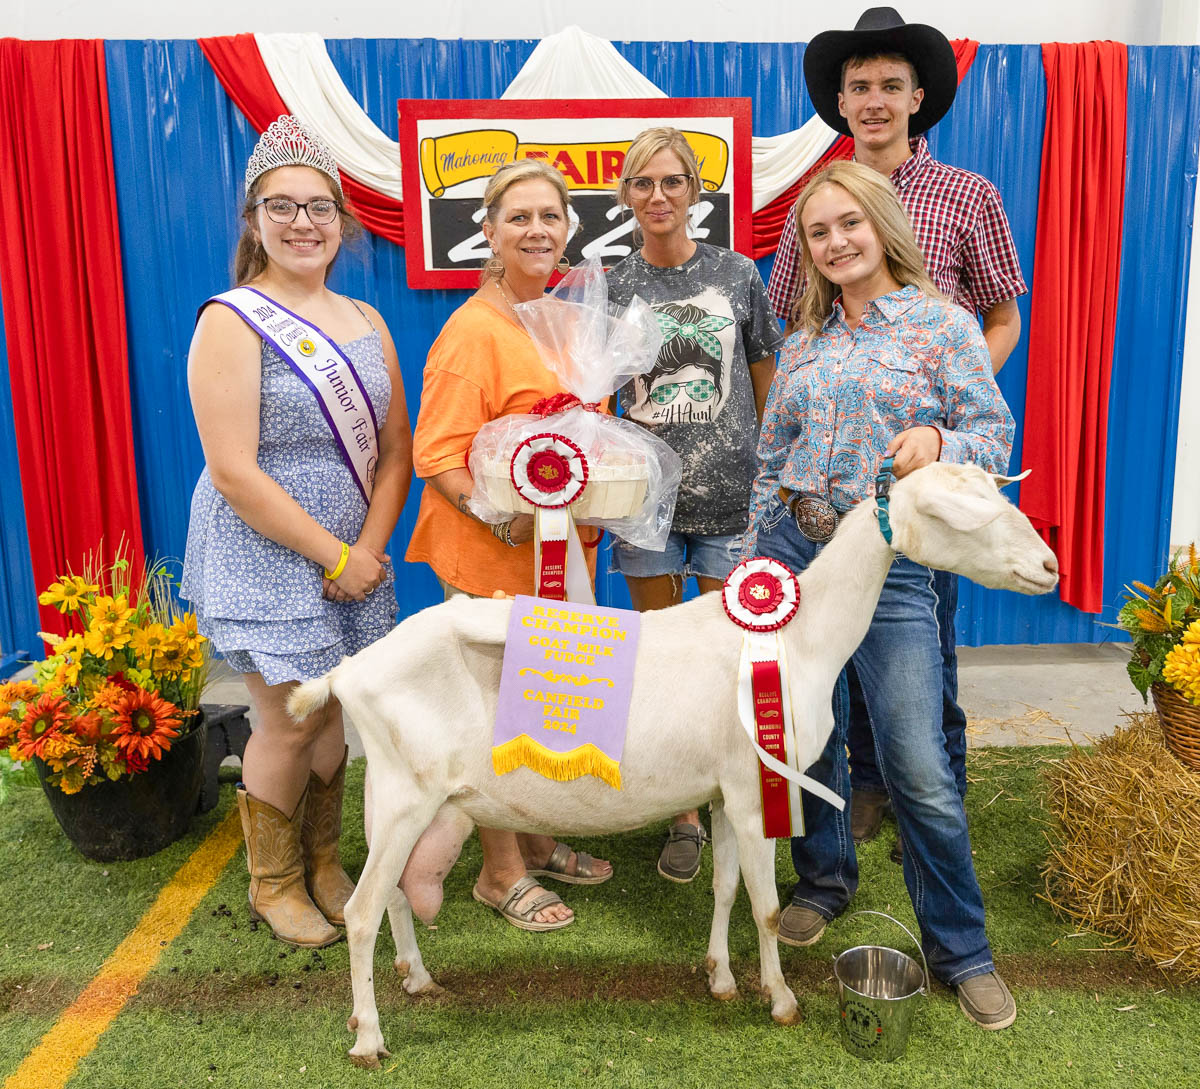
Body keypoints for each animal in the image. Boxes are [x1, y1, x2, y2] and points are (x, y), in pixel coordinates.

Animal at [288, 461, 1059, 1067]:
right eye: (962, 517)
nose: (1051, 567)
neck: (803, 638)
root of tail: (348, 673)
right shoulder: (753, 789)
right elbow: (766, 905)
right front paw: (780, 999)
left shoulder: (723, 791)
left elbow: (724, 888)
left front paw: (720, 977)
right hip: (403, 798)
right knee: (359, 911)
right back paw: (368, 1038)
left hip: (396, 798)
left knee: (390, 895)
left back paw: (417, 979)